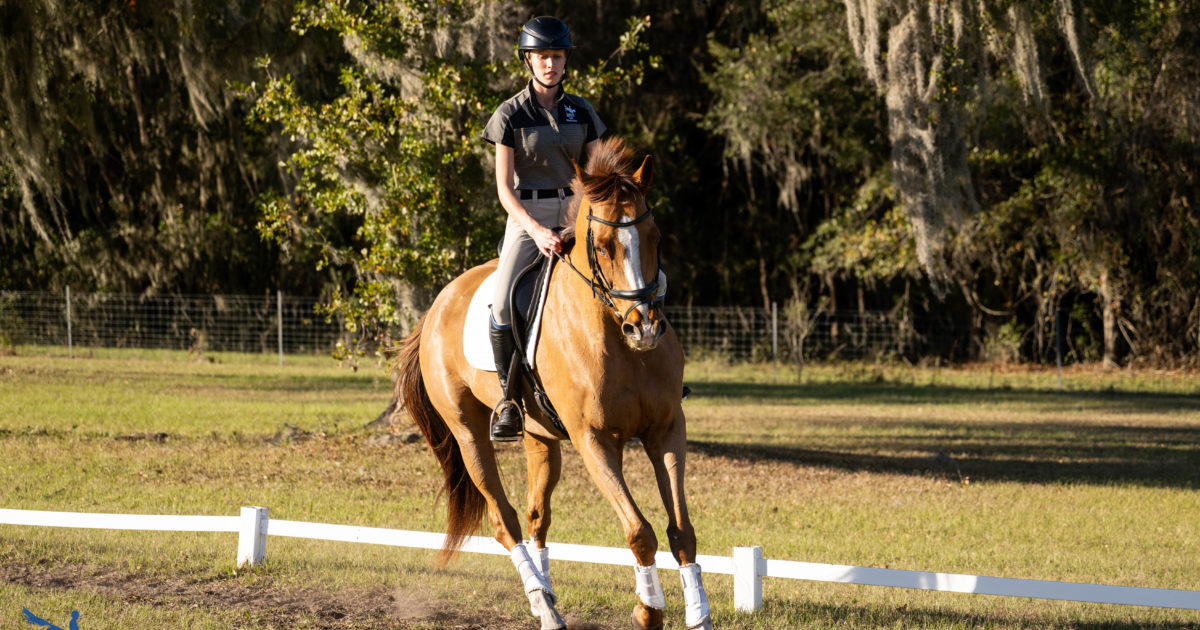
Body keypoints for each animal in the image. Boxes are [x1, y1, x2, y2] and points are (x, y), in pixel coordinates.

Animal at [393, 138, 710, 628]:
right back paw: (543, 603)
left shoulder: (666, 430)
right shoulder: (594, 439)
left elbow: (681, 530)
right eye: (603, 247)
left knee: (536, 515)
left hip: (540, 437)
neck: (615, 336)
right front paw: (648, 611)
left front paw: (696, 614)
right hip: (468, 434)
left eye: (655, 237)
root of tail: (438, 305)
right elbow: (639, 530)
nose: (645, 329)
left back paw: (547, 600)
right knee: (505, 519)